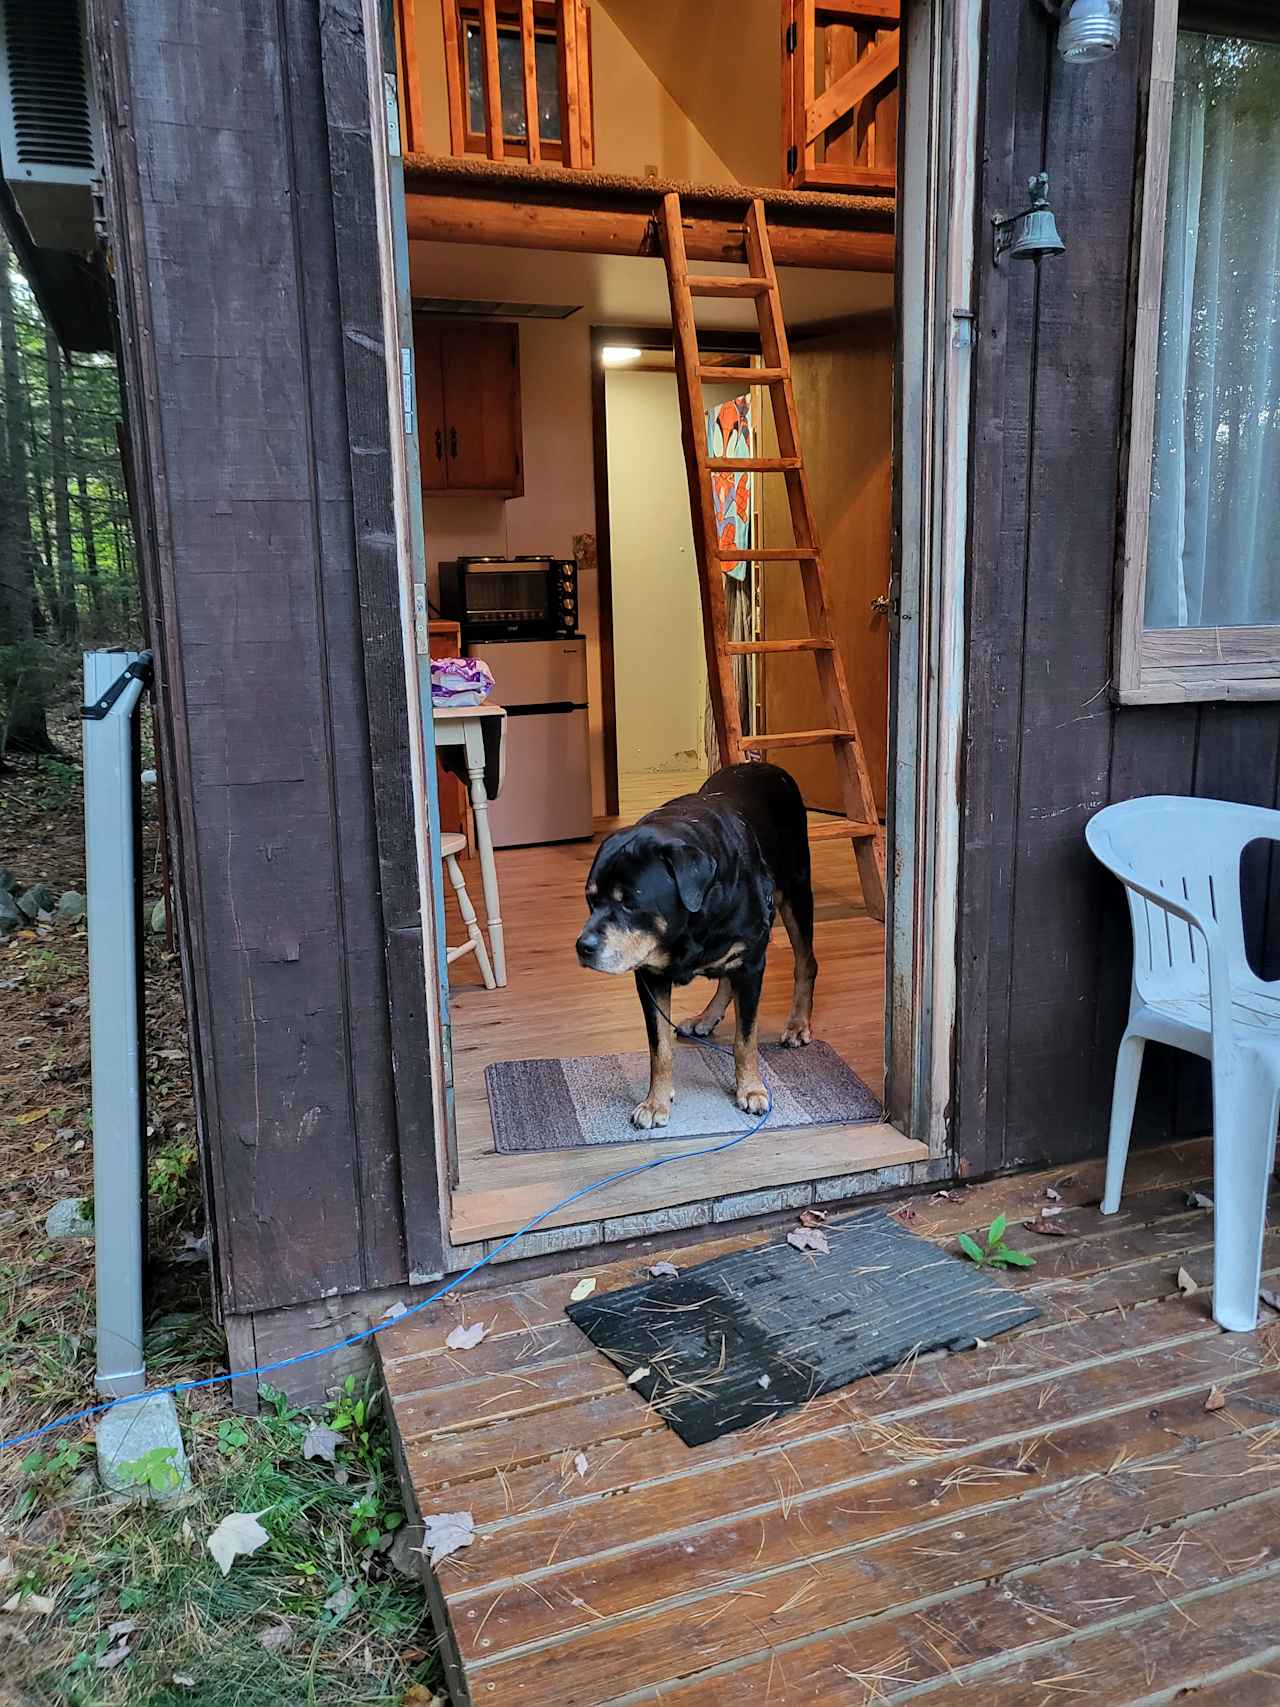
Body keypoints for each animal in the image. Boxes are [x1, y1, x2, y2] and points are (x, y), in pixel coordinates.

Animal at [573, 768, 815, 1126]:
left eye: (629, 902)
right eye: (591, 899)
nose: (583, 947)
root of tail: (769, 768)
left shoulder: (752, 963)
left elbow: (745, 1039)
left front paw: (751, 1089)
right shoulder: (650, 977)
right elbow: (659, 1048)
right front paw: (656, 1102)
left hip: (795, 892)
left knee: (805, 962)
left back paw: (798, 1024)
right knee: (726, 977)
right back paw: (706, 1017)